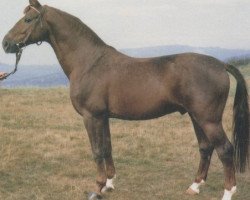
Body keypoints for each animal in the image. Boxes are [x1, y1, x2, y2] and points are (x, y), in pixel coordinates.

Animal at [1, 0, 248, 199]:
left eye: (28, 19)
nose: (6, 43)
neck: (89, 62)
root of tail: (220, 64)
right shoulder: (103, 117)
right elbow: (107, 147)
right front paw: (109, 184)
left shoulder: (91, 117)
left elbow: (97, 151)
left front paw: (97, 188)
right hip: (196, 118)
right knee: (206, 148)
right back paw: (194, 187)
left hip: (209, 120)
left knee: (225, 149)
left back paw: (228, 192)